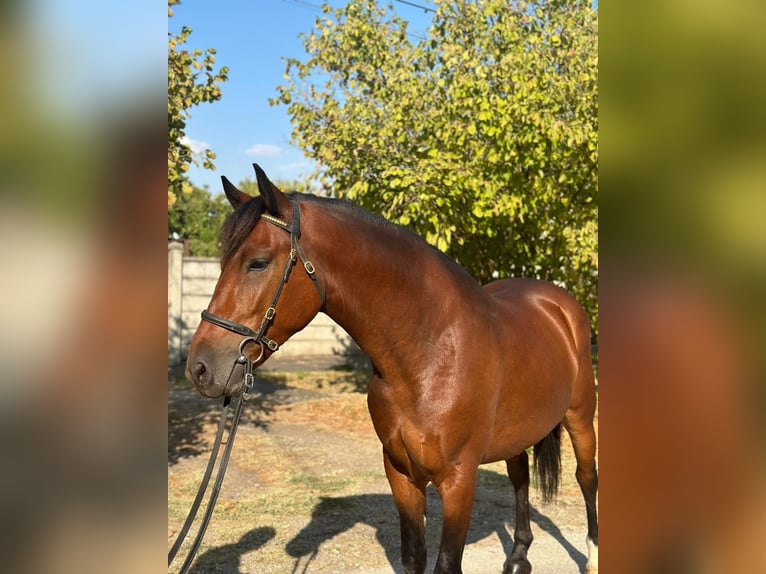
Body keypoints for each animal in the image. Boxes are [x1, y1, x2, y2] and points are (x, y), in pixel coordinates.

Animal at [186, 165, 600, 574]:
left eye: (258, 262)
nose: (200, 368)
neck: (429, 353)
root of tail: (558, 302)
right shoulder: (400, 472)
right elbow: (414, 556)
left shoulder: (459, 480)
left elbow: (446, 563)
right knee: (520, 478)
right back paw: (517, 558)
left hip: (580, 416)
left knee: (586, 477)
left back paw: (592, 556)